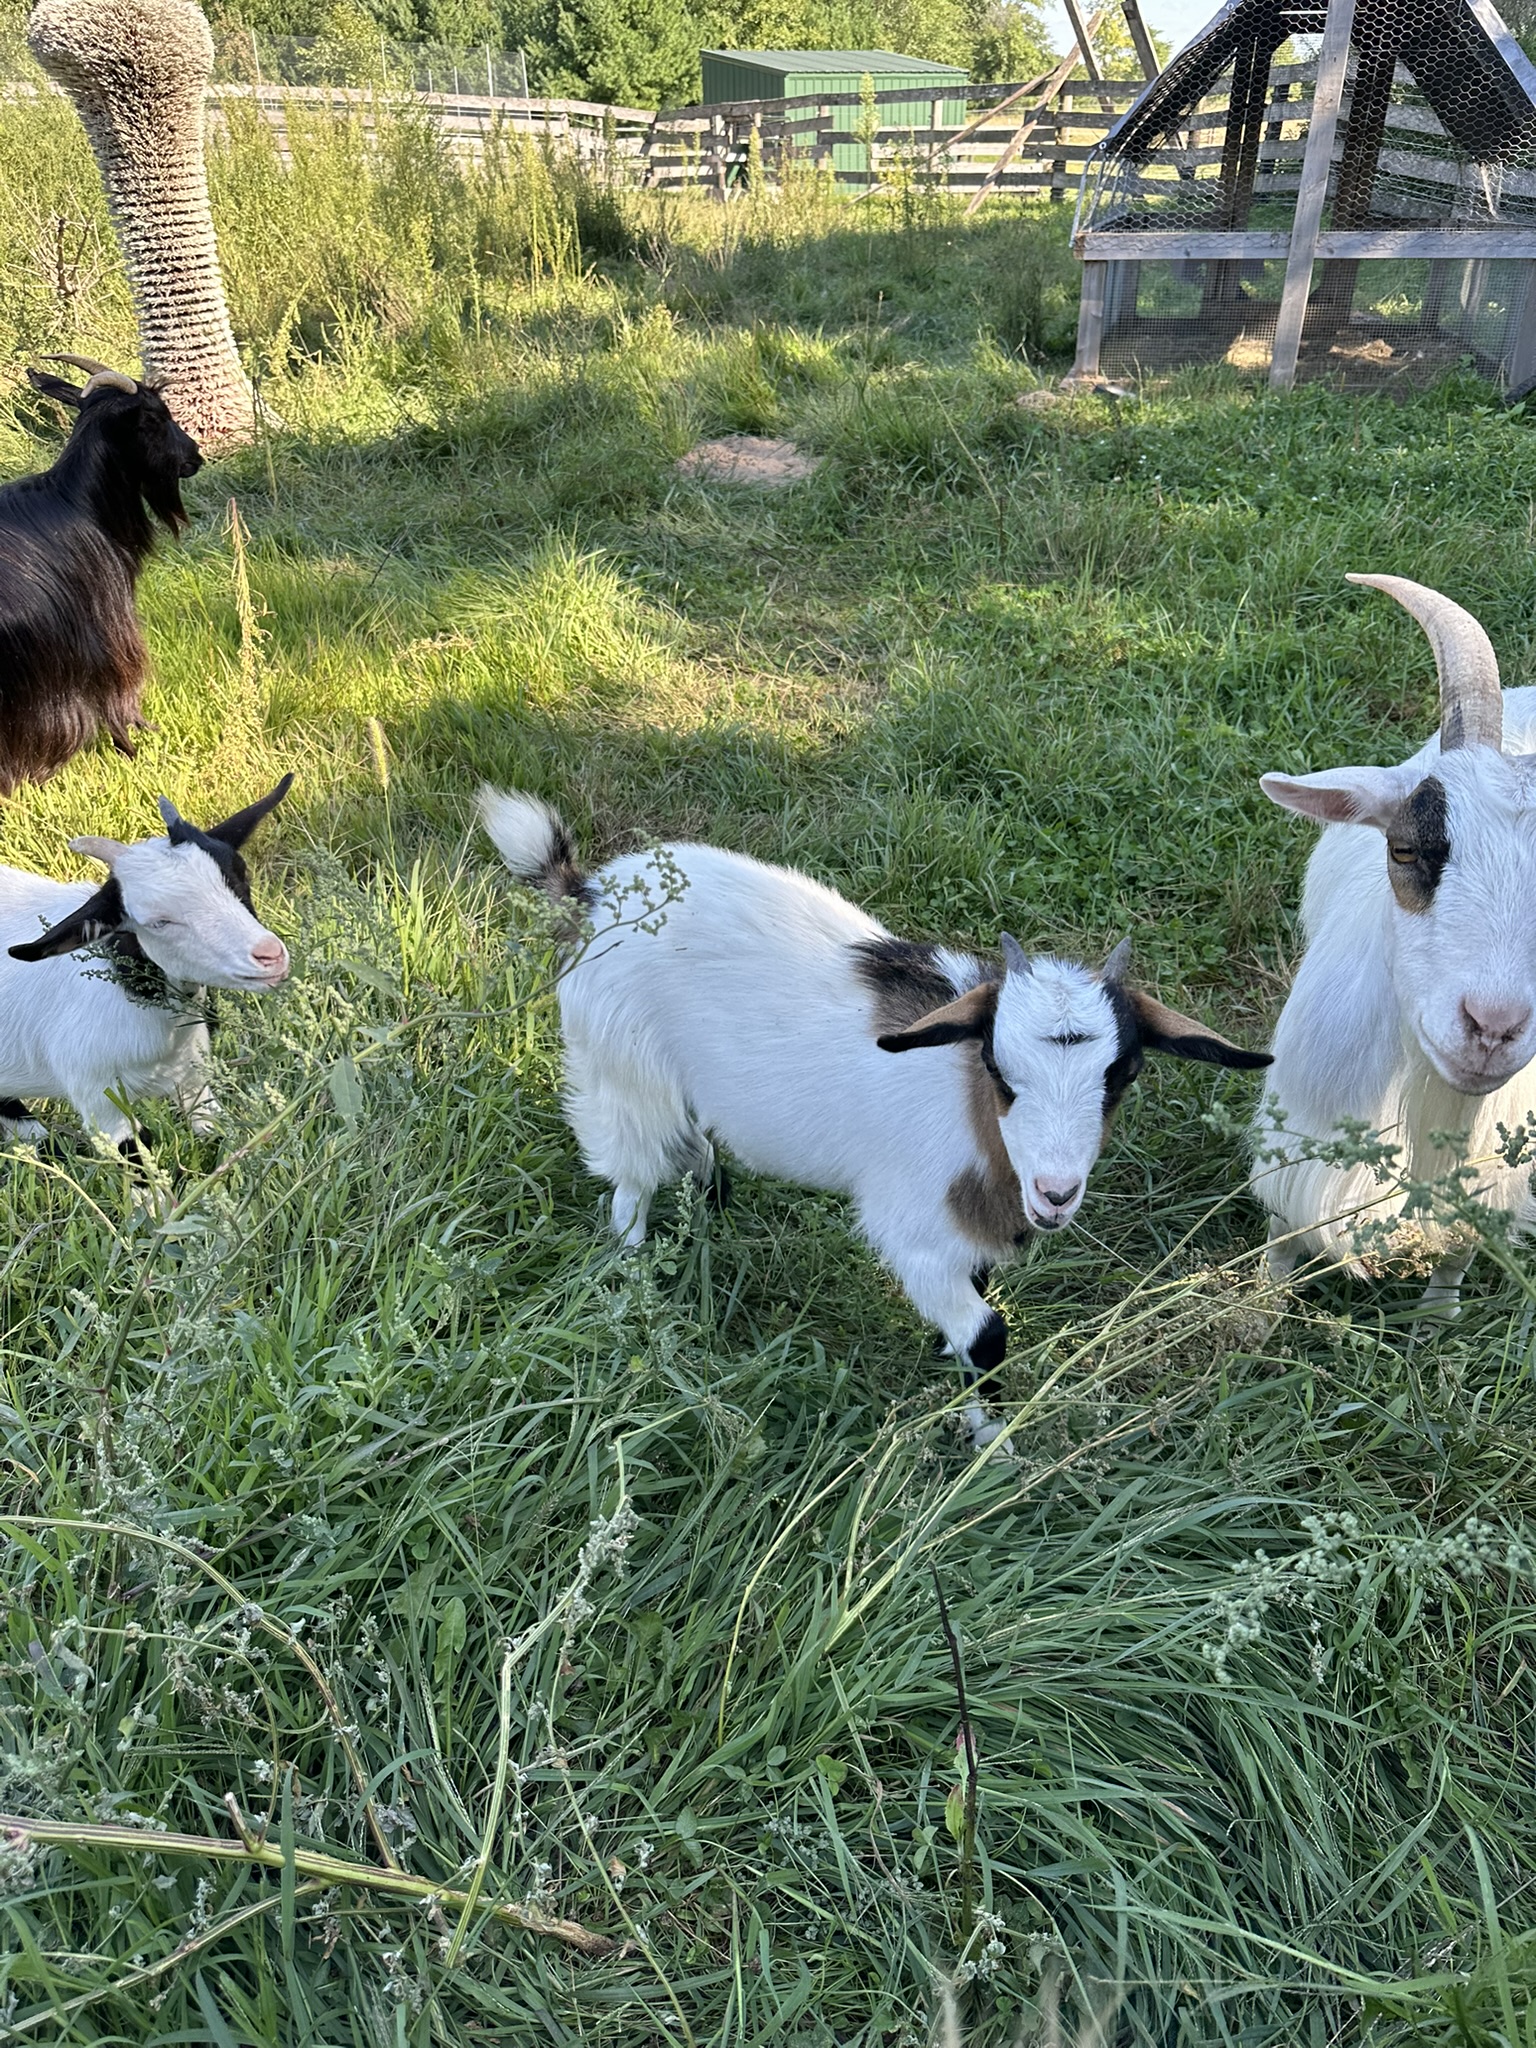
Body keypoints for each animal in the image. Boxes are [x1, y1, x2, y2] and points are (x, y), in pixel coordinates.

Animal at [0, 356, 201, 794]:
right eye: (155, 417)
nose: (195, 456)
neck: (79, 502)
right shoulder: (110, 631)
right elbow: (119, 690)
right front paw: (133, 746)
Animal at [0, 776, 292, 1158]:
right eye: (159, 921)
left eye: (240, 876)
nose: (270, 955)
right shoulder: (99, 1099)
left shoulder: (193, 1074)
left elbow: (214, 1132)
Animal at [481, 789, 1270, 1447]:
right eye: (998, 1070)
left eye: (1123, 1074)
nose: (1055, 1194)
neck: (970, 1114)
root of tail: (591, 893)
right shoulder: (914, 1233)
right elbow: (987, 1335)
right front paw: (992, 1443)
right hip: (622, 1074)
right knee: (630, 1184)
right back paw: (639, 1277)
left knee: (696, 1145)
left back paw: (713, 1209)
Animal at [1255, 575, 1536, 1313]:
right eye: (1405, 848)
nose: (1492, 1027)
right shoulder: (1293, 1151)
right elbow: (1281, 1239)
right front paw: (1259, 1310)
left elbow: (1456, 1256)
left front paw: (1436, 1321)